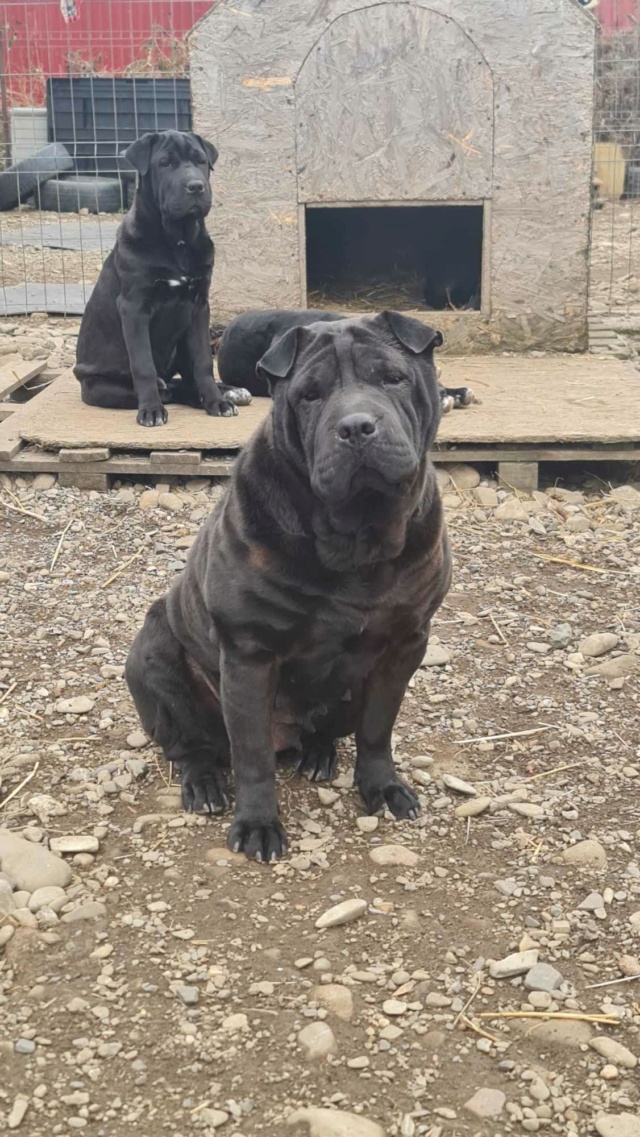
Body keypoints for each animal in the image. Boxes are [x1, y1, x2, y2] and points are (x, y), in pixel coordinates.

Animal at [73, 129, 246, 427]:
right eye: (165, 163)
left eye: (200, 161)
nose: (196, 186)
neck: (178, 239)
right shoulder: (134, 308)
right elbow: (144, 365)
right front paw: (151, 411)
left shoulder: (199, 305)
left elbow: (203, 363)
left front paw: (217, 402)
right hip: (100, 387)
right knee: (165, 387)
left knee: (183, 380)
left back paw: (230, 392)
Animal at [126, 311, 450, 859]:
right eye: (309, 395)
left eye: (392, 377)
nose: (356, 427)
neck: (355, 538)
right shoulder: (250, 654)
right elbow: (252, 753)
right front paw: (257, 824)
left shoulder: (405, 644)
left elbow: (378, 727)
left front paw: (382, 787)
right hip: (155, 654)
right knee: (193, 744)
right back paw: (204, 785)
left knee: (330, 729)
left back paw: (318, 754)